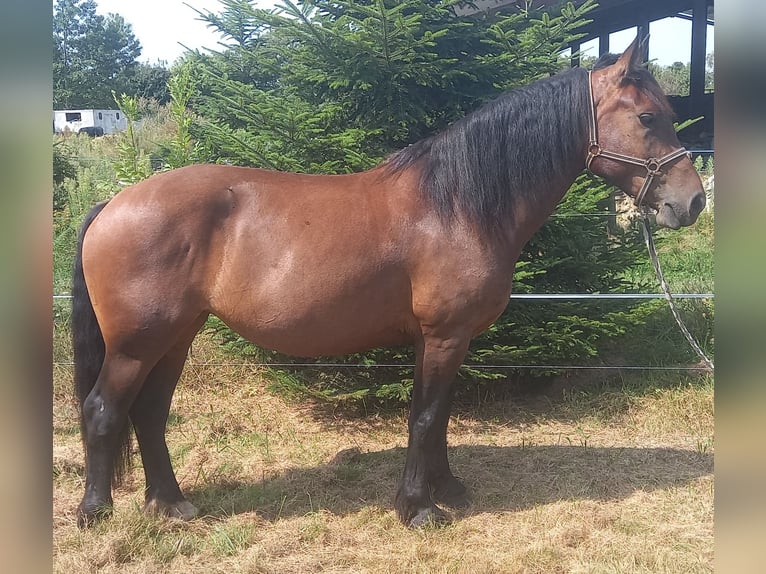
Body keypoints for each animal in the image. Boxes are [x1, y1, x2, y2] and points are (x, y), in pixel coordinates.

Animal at [73, 38, 708, 528]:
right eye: (648, 117)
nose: (692, 202)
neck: (457, 205)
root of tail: (113, 204)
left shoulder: (443, 340)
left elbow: (439, 417)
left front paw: (448, 491)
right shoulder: (446, 334)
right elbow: (424, 418)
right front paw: (418, 509)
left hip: (175, 338)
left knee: (149, 414)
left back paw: (172, 504)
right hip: (137, 344)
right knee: (104, 409)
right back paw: (95, 510)